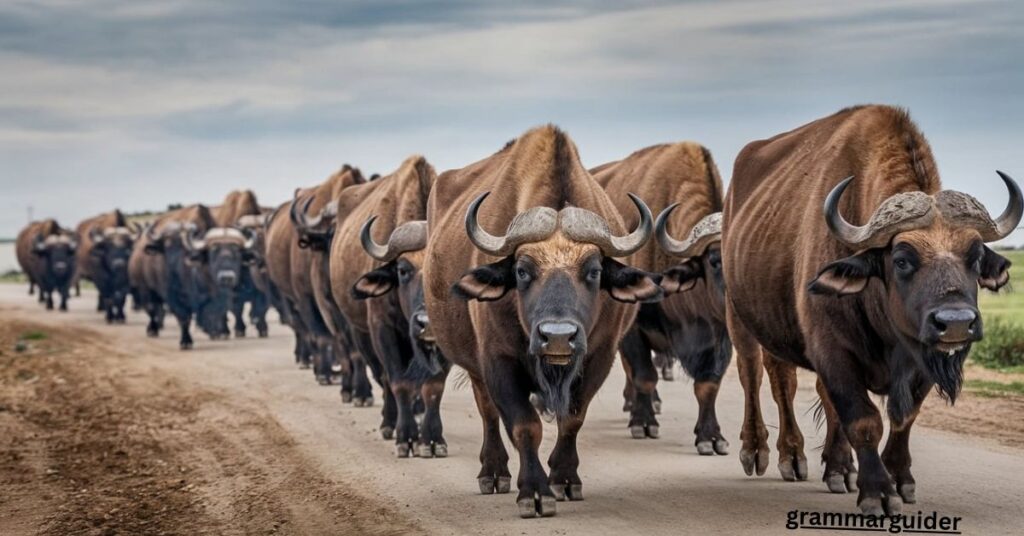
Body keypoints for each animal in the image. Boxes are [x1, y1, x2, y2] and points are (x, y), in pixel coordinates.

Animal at [419, 124, 659, 518]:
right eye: (521, 270)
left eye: (594, 271)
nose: (558, 337)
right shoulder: (497, 359)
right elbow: (524, 425)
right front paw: (533, 491)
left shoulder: (599, 356)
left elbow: (572, 418)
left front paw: (564, 479)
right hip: (474, 365)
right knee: (488, 412)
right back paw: (494, 472)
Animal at [589, 142, 733, 452]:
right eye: (715, 260)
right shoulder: (633, 330)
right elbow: (644, 375)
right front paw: (643, 423)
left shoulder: (720, 336)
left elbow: (708, 386)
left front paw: (711, 436)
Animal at [724, 105, 1019, 516]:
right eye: (901, 259)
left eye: (975, 256)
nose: (956, 324)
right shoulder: (833, 350)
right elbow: (864, 420)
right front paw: (877, 492)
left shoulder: (920, 360)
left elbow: (902, 416)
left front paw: (900, 479)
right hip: (741, 318)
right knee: (761, 375)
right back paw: (773, 453)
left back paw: (838, 469)